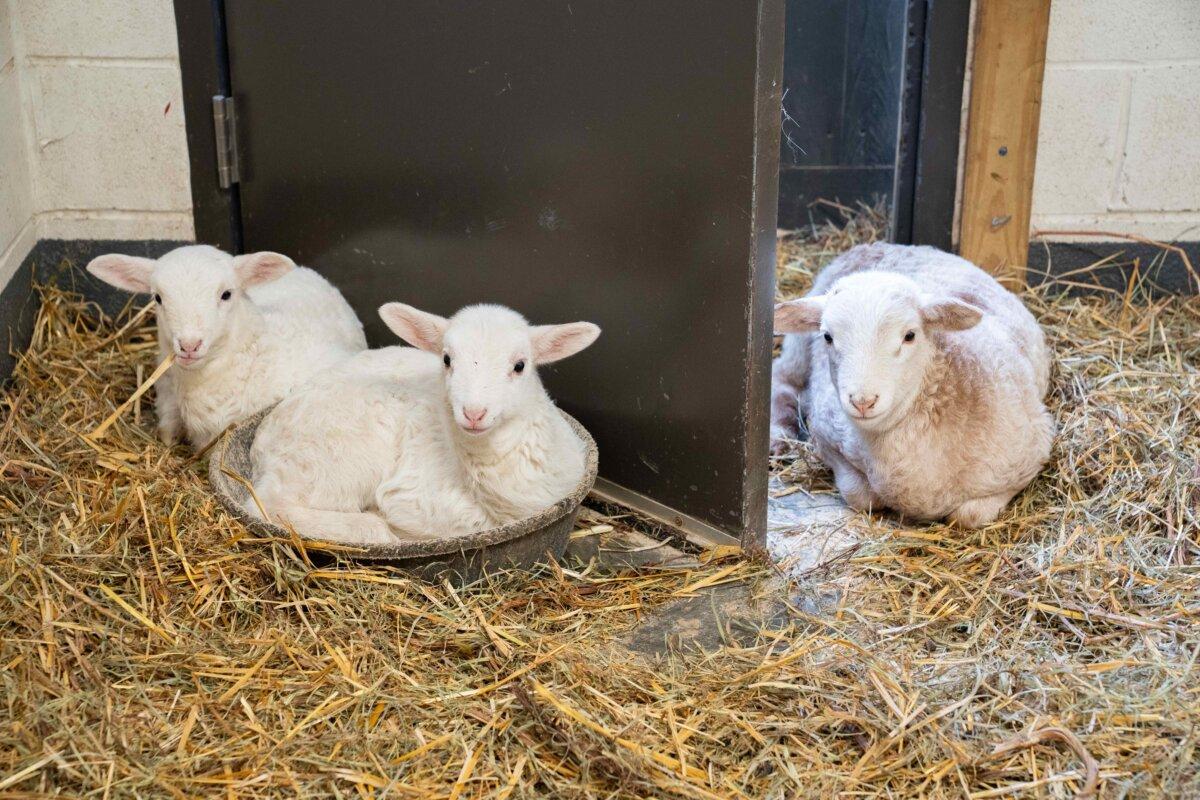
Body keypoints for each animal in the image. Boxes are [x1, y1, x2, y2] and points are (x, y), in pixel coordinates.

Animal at [246, 302, 601, 544]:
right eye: (446, 359)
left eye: (520, 365)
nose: (473, 413)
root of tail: (261, 446)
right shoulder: (413, 500)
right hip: (336, 460)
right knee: (270, 505)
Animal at [772, 242, 1054, 527]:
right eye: (827, 337)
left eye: (909, 335)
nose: (863, 401)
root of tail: (883, 245)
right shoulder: (824, 433)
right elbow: (862, 497)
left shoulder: (1033, 452)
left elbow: (968, 516)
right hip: (800, 348)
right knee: (781, 379)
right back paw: (778, 436)